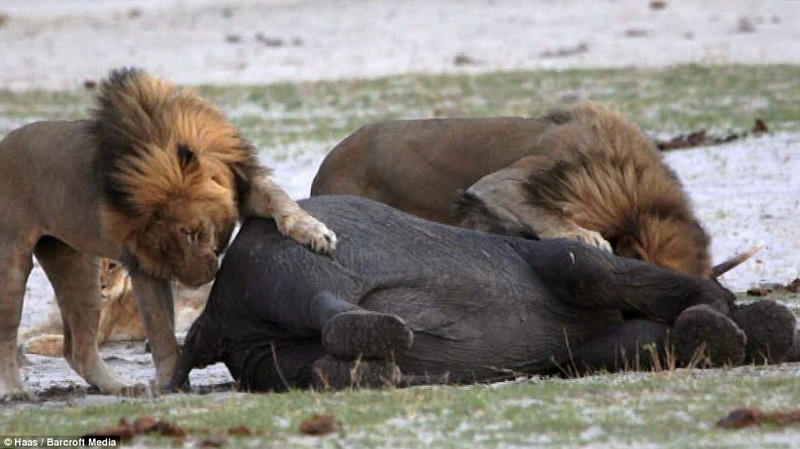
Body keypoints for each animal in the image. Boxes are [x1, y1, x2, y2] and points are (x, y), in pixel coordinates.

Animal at [21, 259, 206, 357]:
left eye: (112, 265)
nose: (101, 286)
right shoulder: (53, 321)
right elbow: (27, 330)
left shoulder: (95, 334)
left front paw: (33, 344)